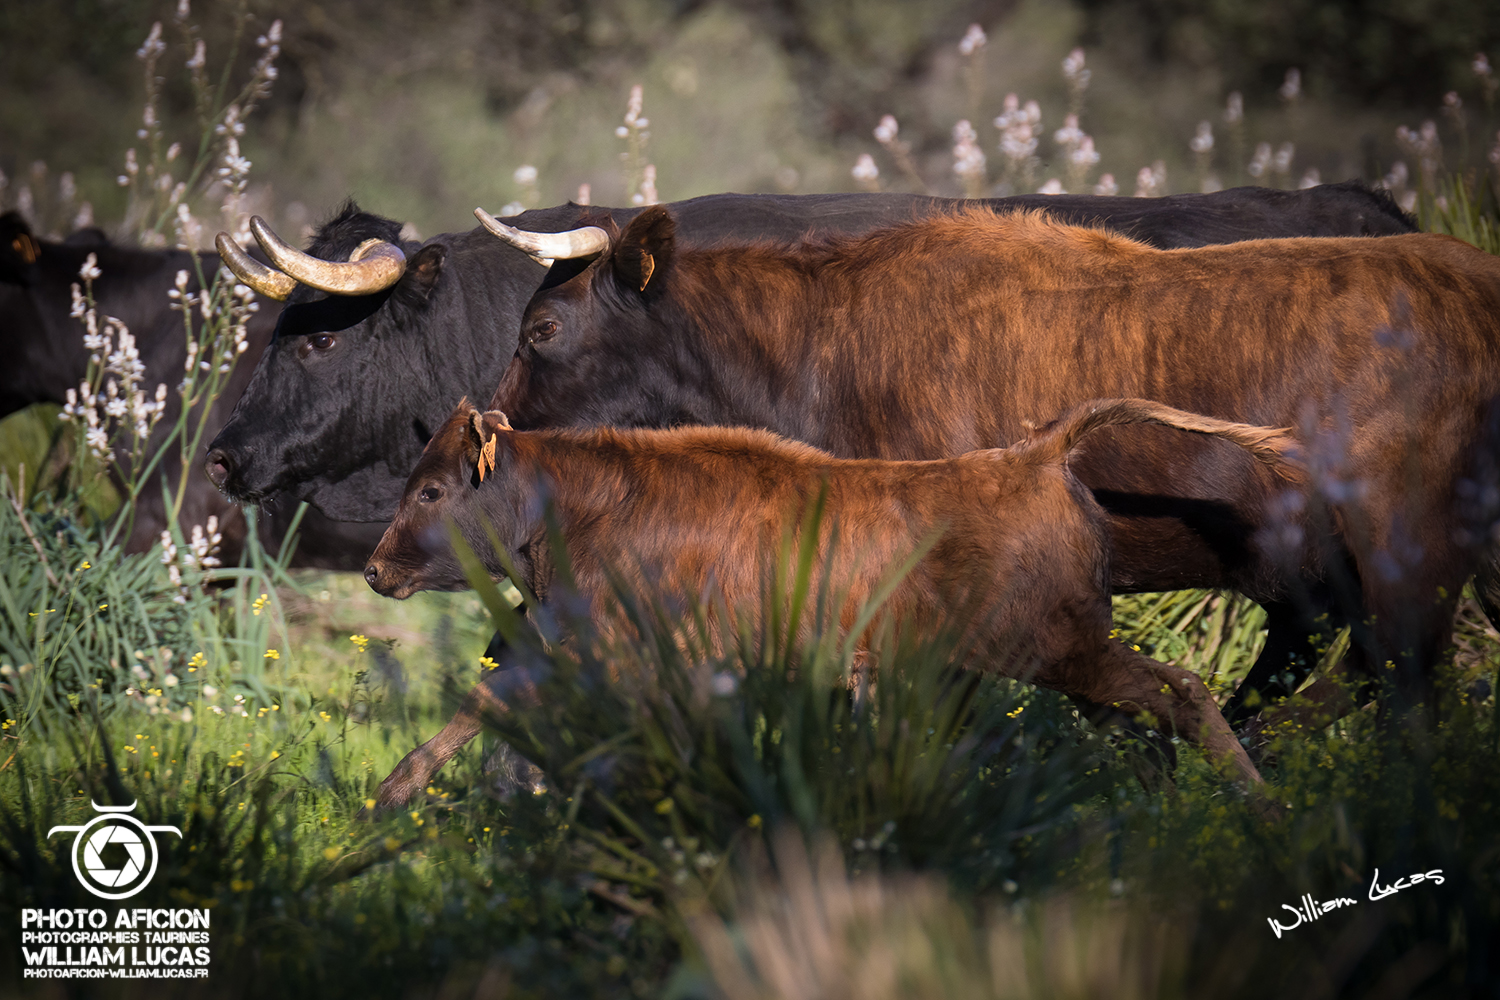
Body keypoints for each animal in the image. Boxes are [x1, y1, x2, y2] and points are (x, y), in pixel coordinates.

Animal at [363, 395, 1302, 809]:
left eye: (433, 490)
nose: (375, 571)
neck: (581, 507)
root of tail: (1043, 453)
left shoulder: (610, 652)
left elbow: (486, 702)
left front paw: (393, 796)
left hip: (1064, 652)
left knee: (1181, 692)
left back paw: (1260, 803)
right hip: (1068, 663)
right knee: (1155, 717)